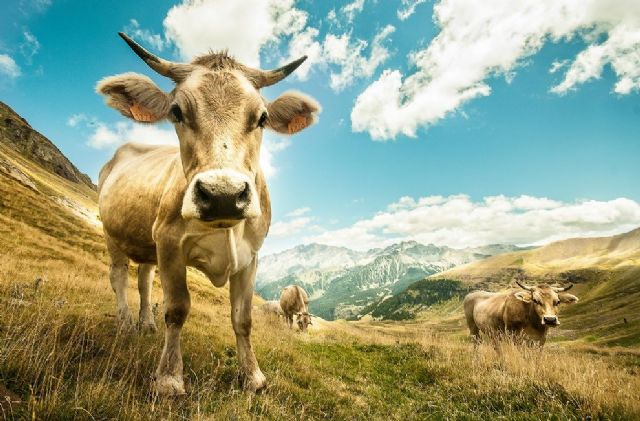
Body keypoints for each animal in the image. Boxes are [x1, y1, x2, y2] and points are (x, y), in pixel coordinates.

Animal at [95, 32, 320, 394]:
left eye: (262, 118)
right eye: (176, 111)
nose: (223, 195)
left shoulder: (250, 257)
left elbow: (243, 318)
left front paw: (253, 376)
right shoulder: (170, 243)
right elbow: (177, 309)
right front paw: (169, 378)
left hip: (148, 243)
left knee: (144, 280)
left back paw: (147, 324)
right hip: (112, 233)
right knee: (118, 276)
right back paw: (126, 323)